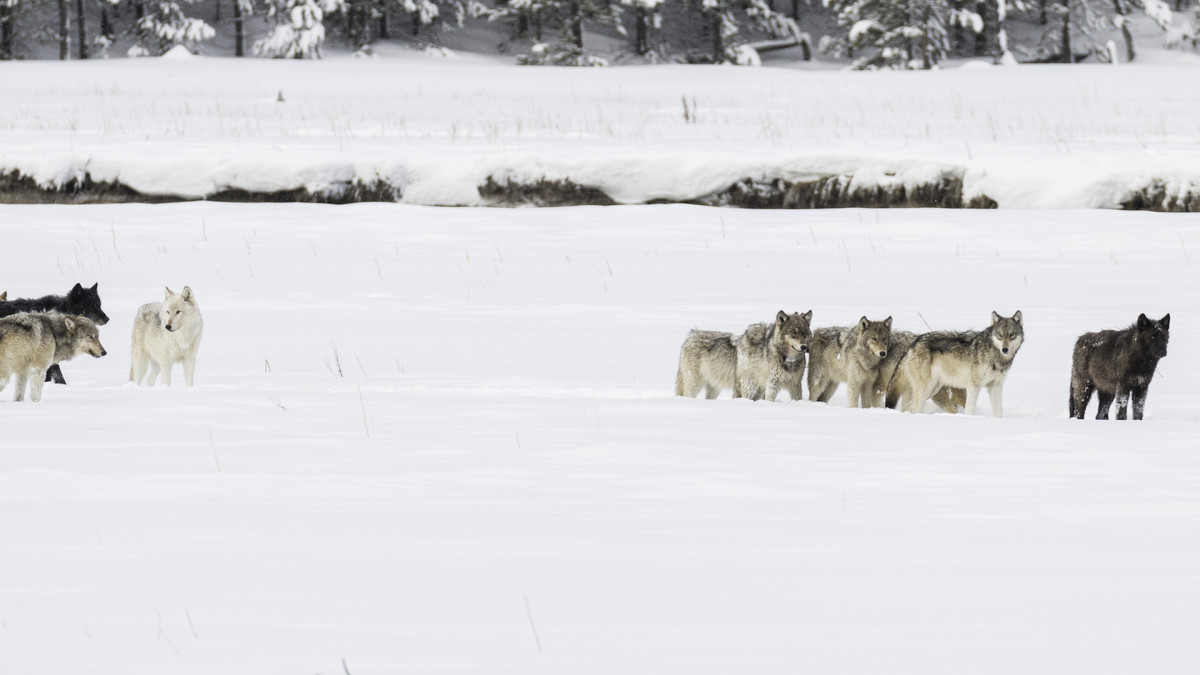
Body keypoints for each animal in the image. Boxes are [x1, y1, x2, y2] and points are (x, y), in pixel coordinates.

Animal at [892, 312, 1022, 415]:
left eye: (1011, 335)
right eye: (1000, 335)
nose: (1005, 349)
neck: (994, 354)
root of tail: (913, 344)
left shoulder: (996, 387)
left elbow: (999, 413)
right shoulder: (973, 387)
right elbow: (970, 410)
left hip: (934, 389)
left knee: (910, 406)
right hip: (926, 389)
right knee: (914, 408)